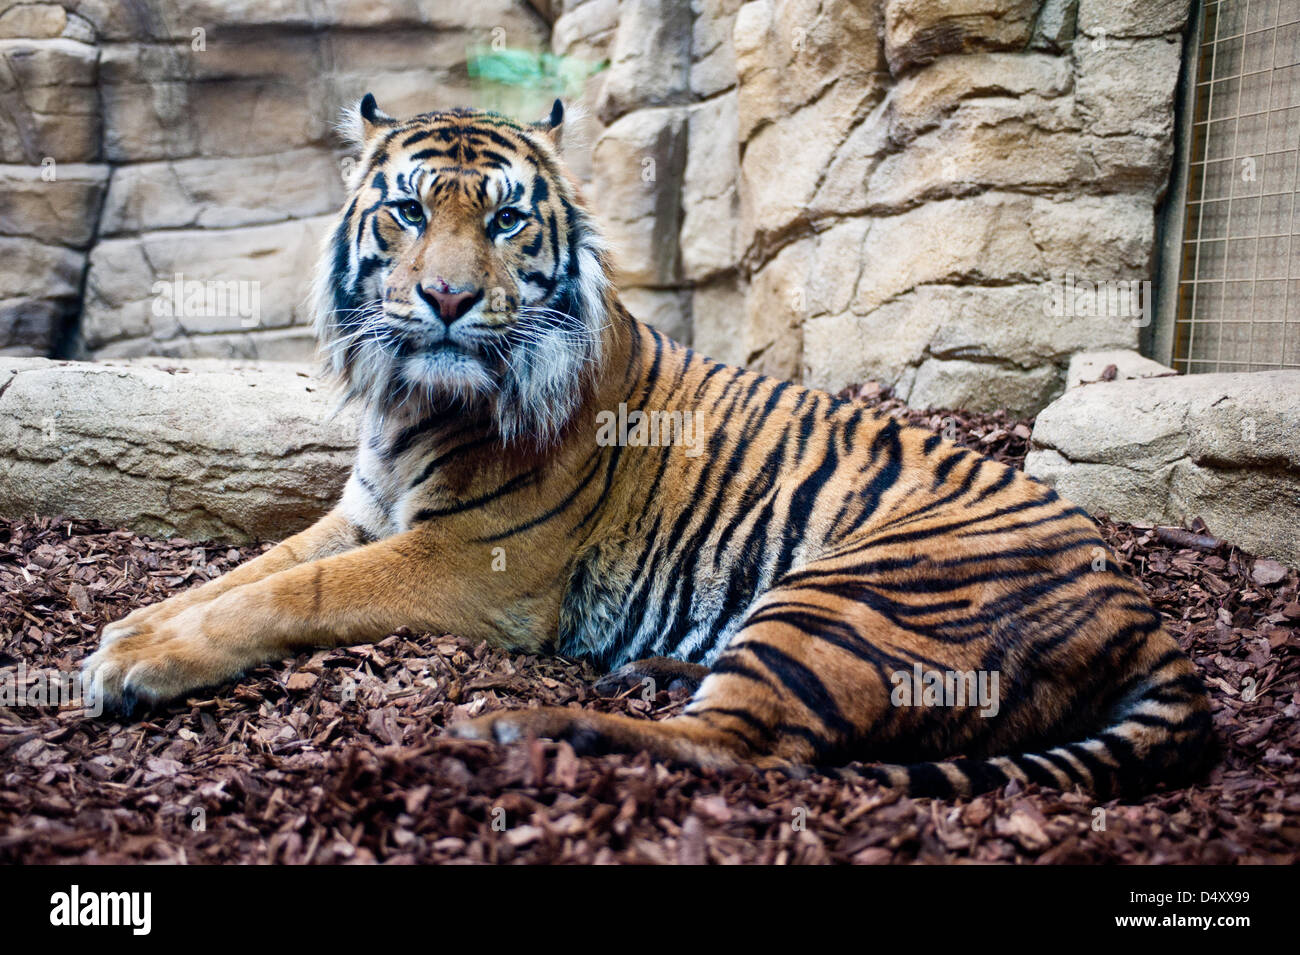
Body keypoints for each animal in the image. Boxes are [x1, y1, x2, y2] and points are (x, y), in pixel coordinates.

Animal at [78, 95, 1216, 800]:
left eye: (505, 224)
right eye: (404, 211)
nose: (444, 299)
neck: (410, 403)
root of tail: (1144, 611)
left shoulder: (468, 562)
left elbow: (290, 593)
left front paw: (136, 660)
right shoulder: (363, 513)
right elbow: (244, 571)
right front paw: (126, 631)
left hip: (853, 590)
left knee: (741, 750)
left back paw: (517, 729)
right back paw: (654, 669)